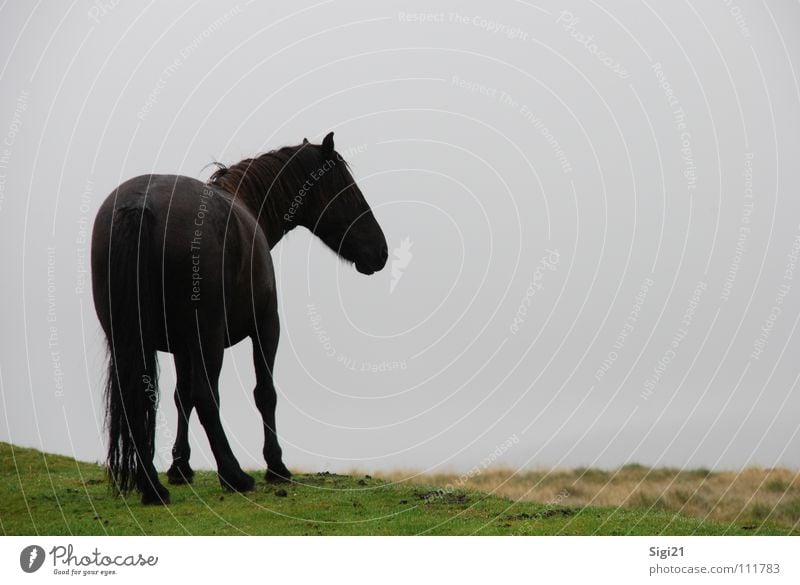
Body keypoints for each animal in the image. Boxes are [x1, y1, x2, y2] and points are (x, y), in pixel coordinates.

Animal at [90, 132, 388, 502]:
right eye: (347, 188)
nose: (381, 251)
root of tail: (140, 207)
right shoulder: (266, 327)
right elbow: (264, 393)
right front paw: (276, 466)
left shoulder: (181, 347)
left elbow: (180, 397)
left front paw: (180, 466)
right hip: (209, 337)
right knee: (206, 396)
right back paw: (234, 475)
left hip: (131, 340)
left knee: (140, 401)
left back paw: (153, 487)